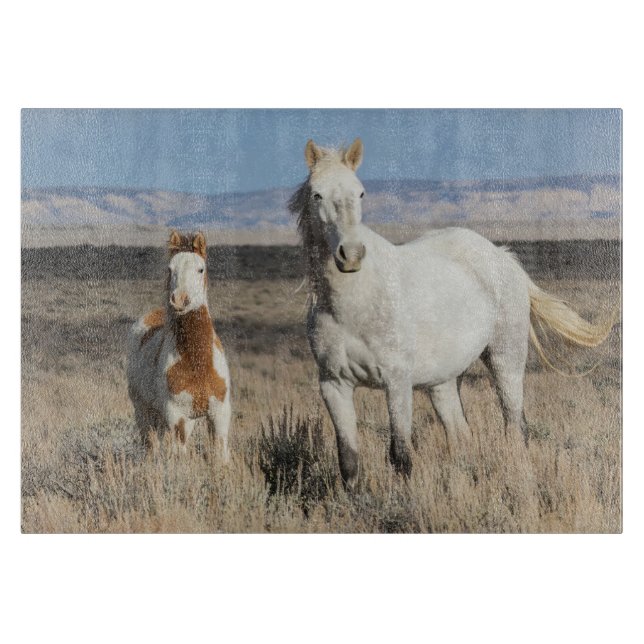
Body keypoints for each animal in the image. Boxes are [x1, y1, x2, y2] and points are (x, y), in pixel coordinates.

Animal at [127, 231, 231, 459]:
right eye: (170, 268)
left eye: (201, 269)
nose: (179, 300)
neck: (198, 364)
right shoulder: (177, 417)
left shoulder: (219, 415)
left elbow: (220, 455)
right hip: (143, 411)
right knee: (151, 445)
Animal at [288, 137, 616, 489]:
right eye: (317, 194)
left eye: (360, 193)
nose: (350, 255)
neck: (354, 304)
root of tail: (502, 257)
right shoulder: (334, 385)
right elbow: (348, 462)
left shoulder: (397, 382)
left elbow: (400, 456)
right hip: (444, 381)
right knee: (461, 436)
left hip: (506, 359)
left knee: (515, 427)